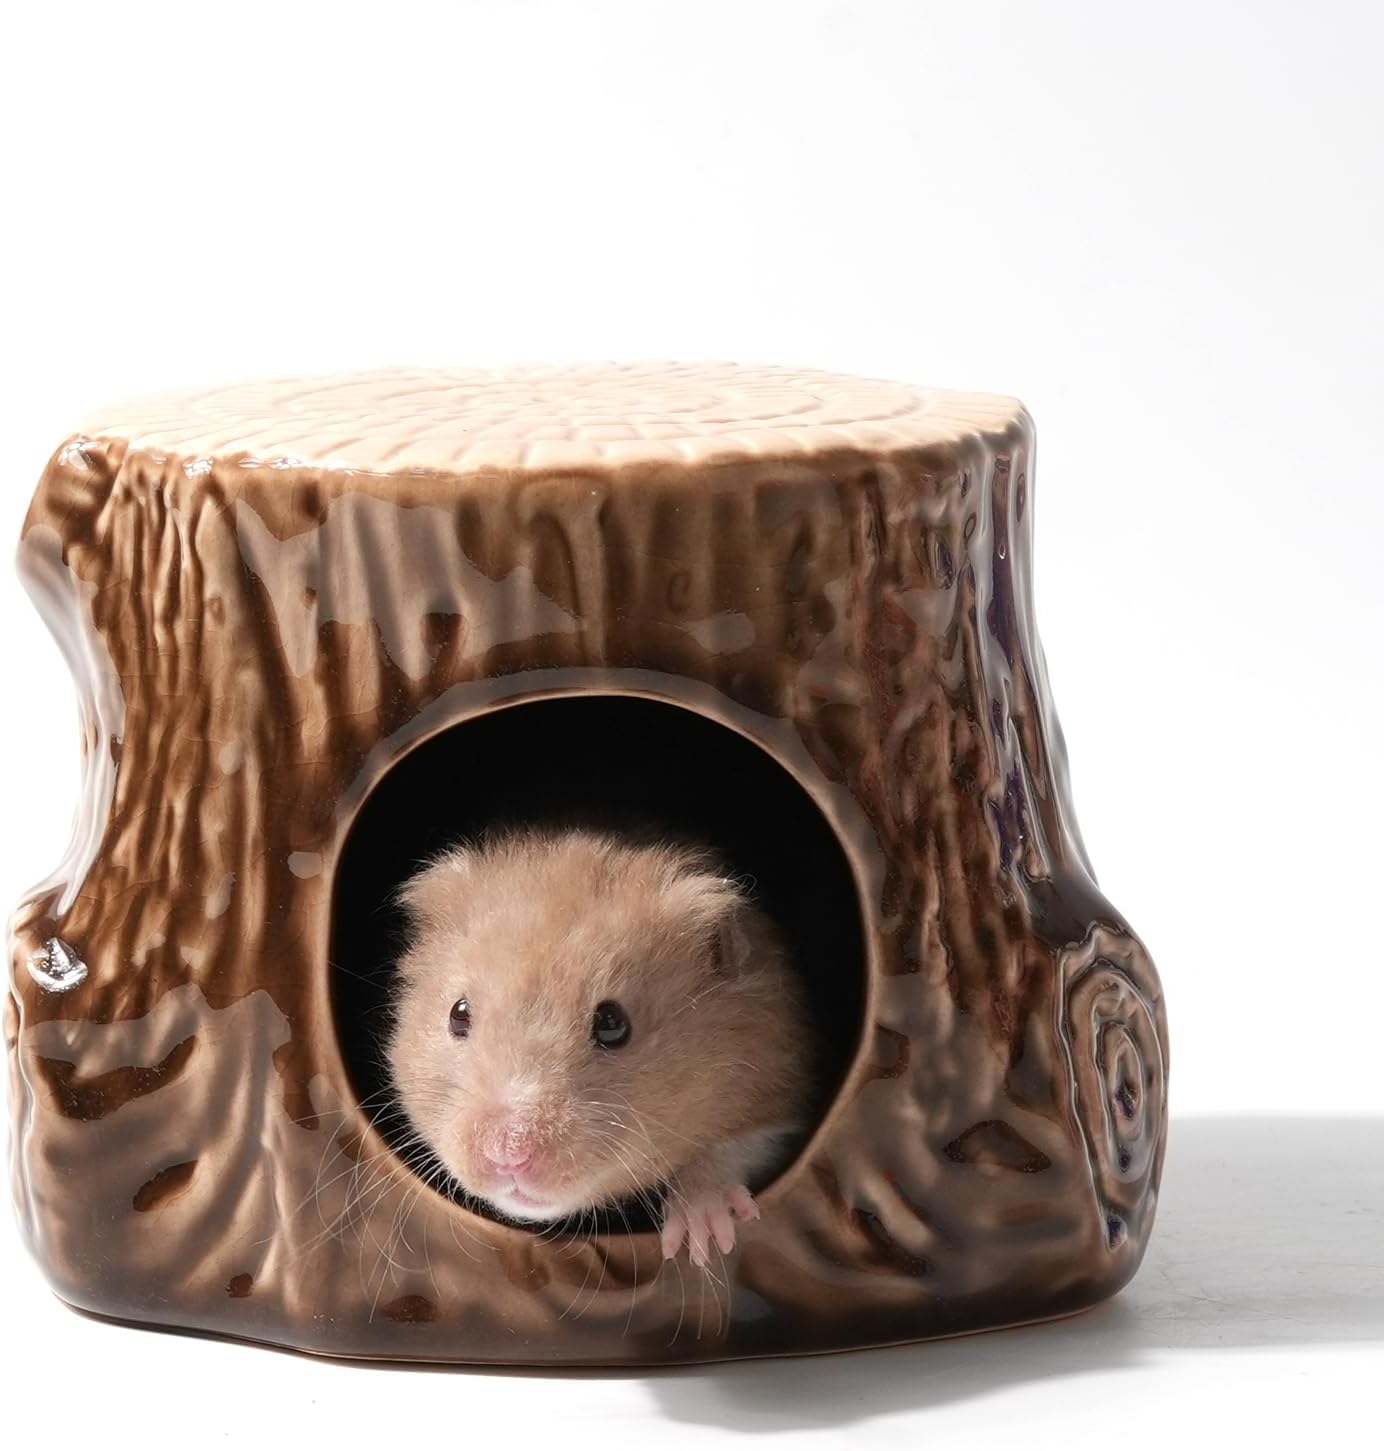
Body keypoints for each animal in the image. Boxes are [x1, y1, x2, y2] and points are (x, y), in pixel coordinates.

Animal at [385, 827, 812, 1267]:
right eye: (458, 1014)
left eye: (612, 1024)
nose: (508, 1154)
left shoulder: (778, 1083)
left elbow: (733, 1147)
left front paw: (704, 1242)